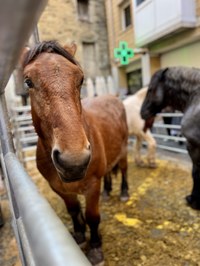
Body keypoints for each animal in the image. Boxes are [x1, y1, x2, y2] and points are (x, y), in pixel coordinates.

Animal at [21, 40, 128, 264]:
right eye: (28, 82)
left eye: (81, 79)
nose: (74, 162)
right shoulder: (59, 188)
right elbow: (73, 211)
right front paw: (79, 235)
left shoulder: (92, 186)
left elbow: (92, 216)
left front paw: (95, 247)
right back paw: (107, 192)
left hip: (123, 152)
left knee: (123, 170)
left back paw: (123, 192)